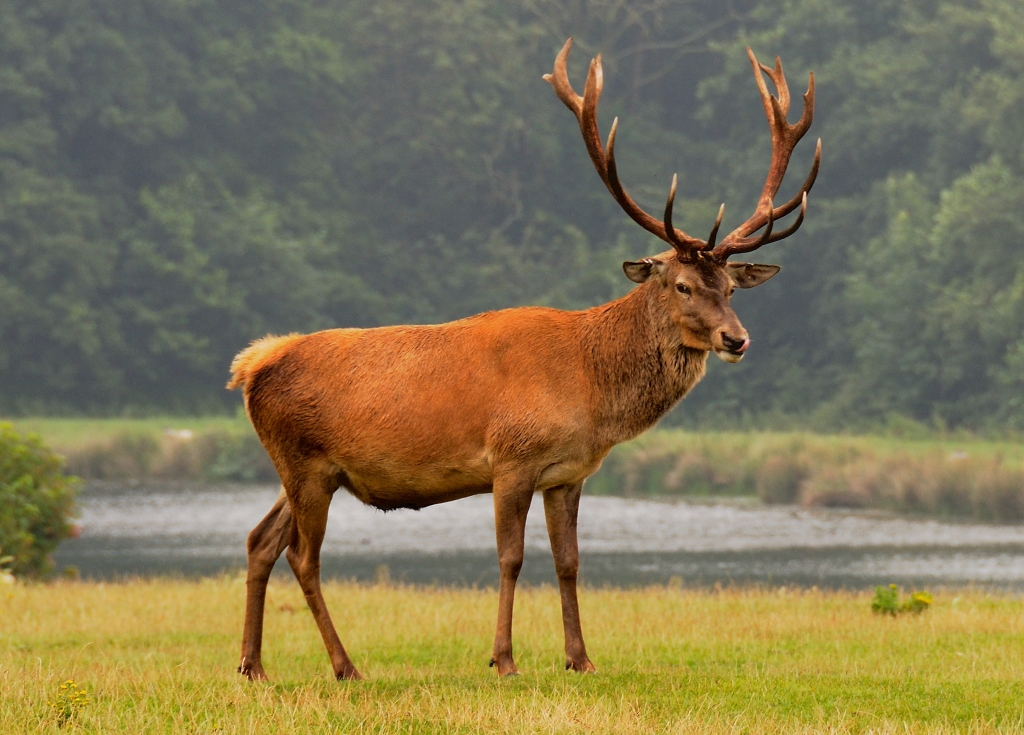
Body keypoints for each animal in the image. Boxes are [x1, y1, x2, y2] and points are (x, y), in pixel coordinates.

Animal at [228, 38, 819, 681]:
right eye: (684, 285)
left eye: (731, 288)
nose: (737, 339)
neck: (590, 387)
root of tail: (251, 366)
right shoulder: (511, 458)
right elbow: (510, 557)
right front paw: (504, 659)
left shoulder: (568, 474)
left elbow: (569, 561)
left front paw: (580, 659)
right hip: (303, 462)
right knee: (302, 556)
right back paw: (345, 666)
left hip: (308, 470)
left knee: (260, 540)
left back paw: (252, 666)